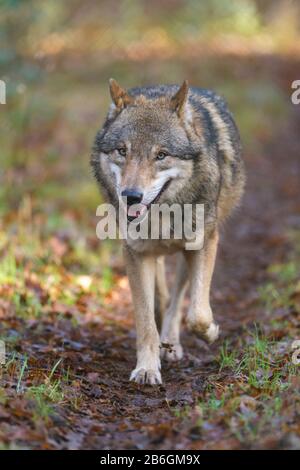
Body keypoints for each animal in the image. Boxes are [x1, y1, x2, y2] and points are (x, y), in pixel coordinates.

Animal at [91, 78, 244, 386]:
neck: (164, 215)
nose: (131, 196)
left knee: (178, 300)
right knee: (162, 298)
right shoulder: (136, 254)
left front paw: (211, 331)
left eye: (161, 155)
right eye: (122, 151)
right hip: (154, 255)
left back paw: (172, 342)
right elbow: (145, 320)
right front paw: (147, 369)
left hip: (187, 253)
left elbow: (197, 313)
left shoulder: (204, 243)